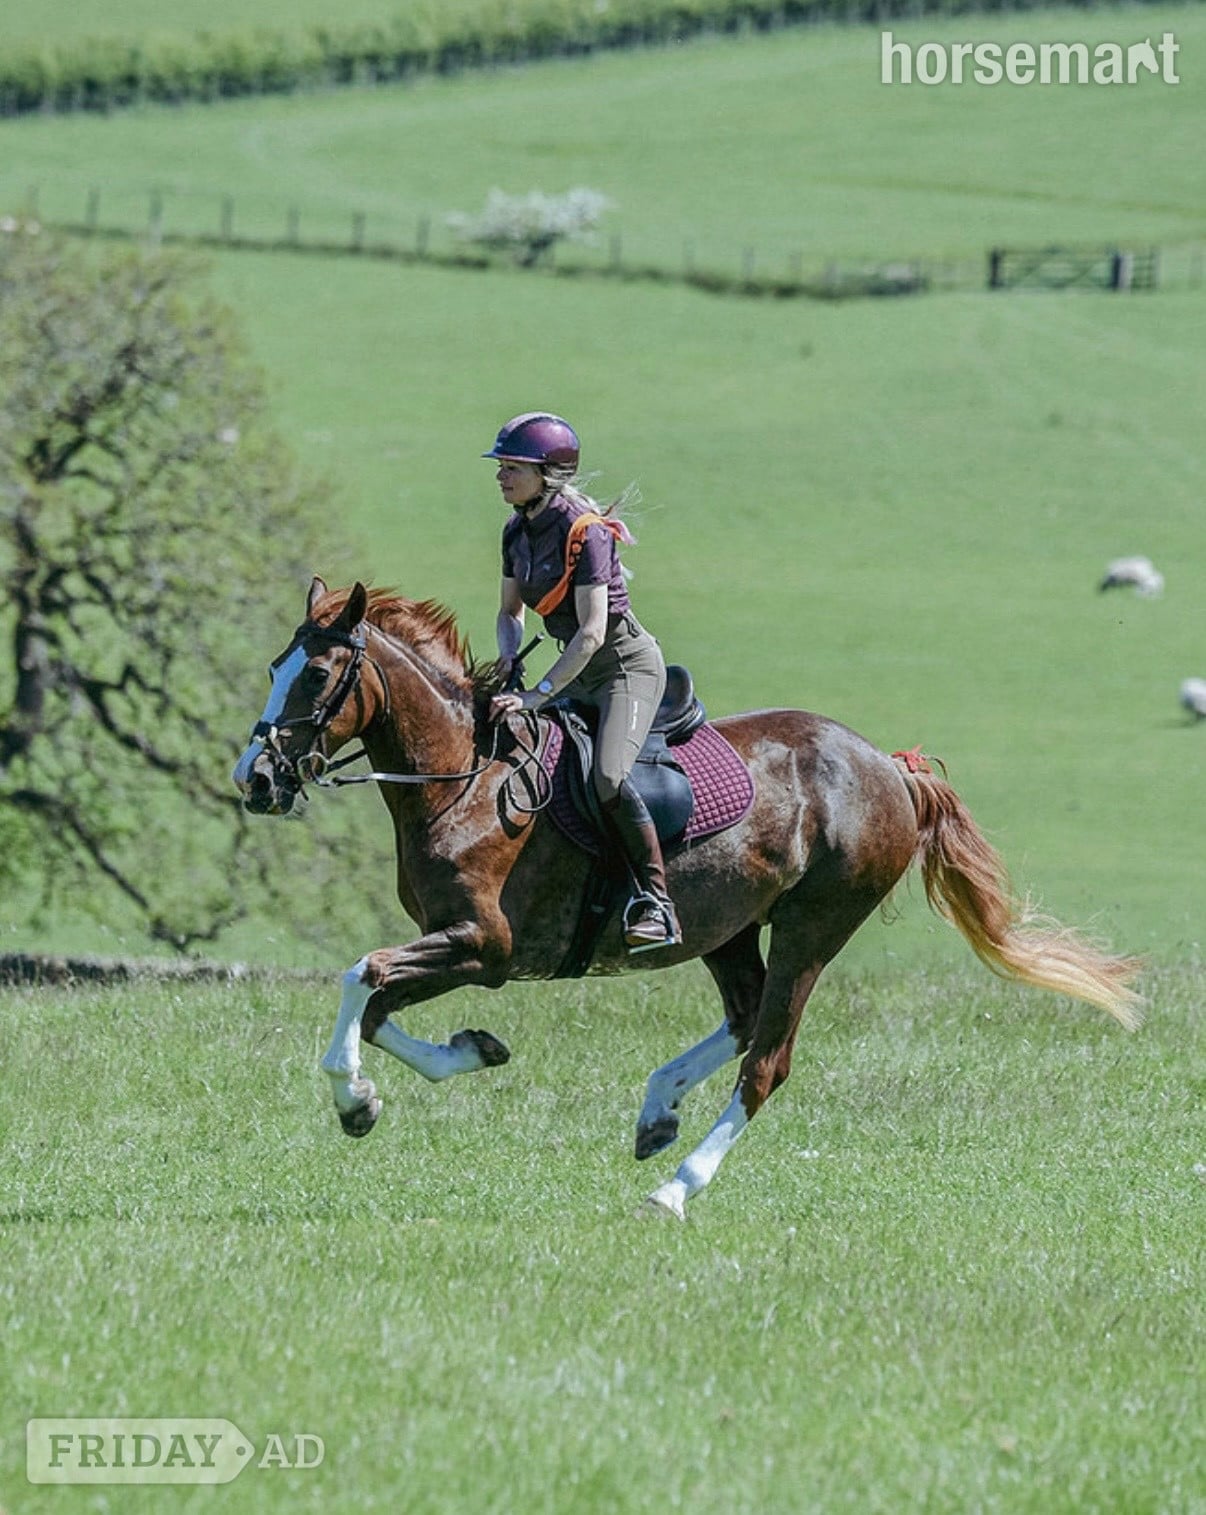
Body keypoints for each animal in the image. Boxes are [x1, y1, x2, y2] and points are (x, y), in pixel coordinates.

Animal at [232, 578, 1143, 1219]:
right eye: (275, 667)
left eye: (317, 673)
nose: (256, 780)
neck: (465, 779)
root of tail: (886, 763)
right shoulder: (456, 945)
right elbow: (379, 1005)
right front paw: (455, 1059)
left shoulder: (485, 945)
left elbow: (362, 976)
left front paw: (353, 1096)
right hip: (726, 924)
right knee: (743, 1018)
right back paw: (657, 1108)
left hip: (814, 924)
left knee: (767, 1058)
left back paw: (675, 1186)